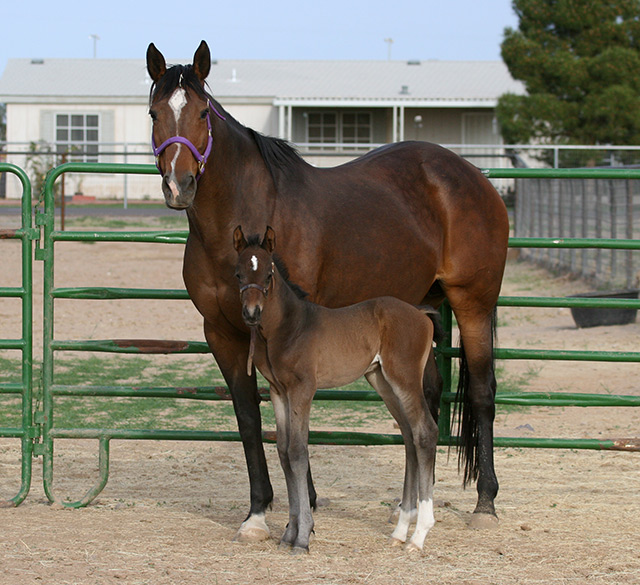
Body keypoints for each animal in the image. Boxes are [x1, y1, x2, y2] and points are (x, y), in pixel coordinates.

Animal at [234, 225, 442, 553]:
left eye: (268, 274)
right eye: (238, 274)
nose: (252, 313)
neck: (290, 327)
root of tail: (420, 313)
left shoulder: (303, 389)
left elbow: (297, 451)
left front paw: (302, 537)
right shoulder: (278, 391)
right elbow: (283, 451)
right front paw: (289, 533)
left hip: (405, 378)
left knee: (425, 432)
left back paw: (419, 536)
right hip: (381, 380)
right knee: (409, 435)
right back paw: (400, 531)